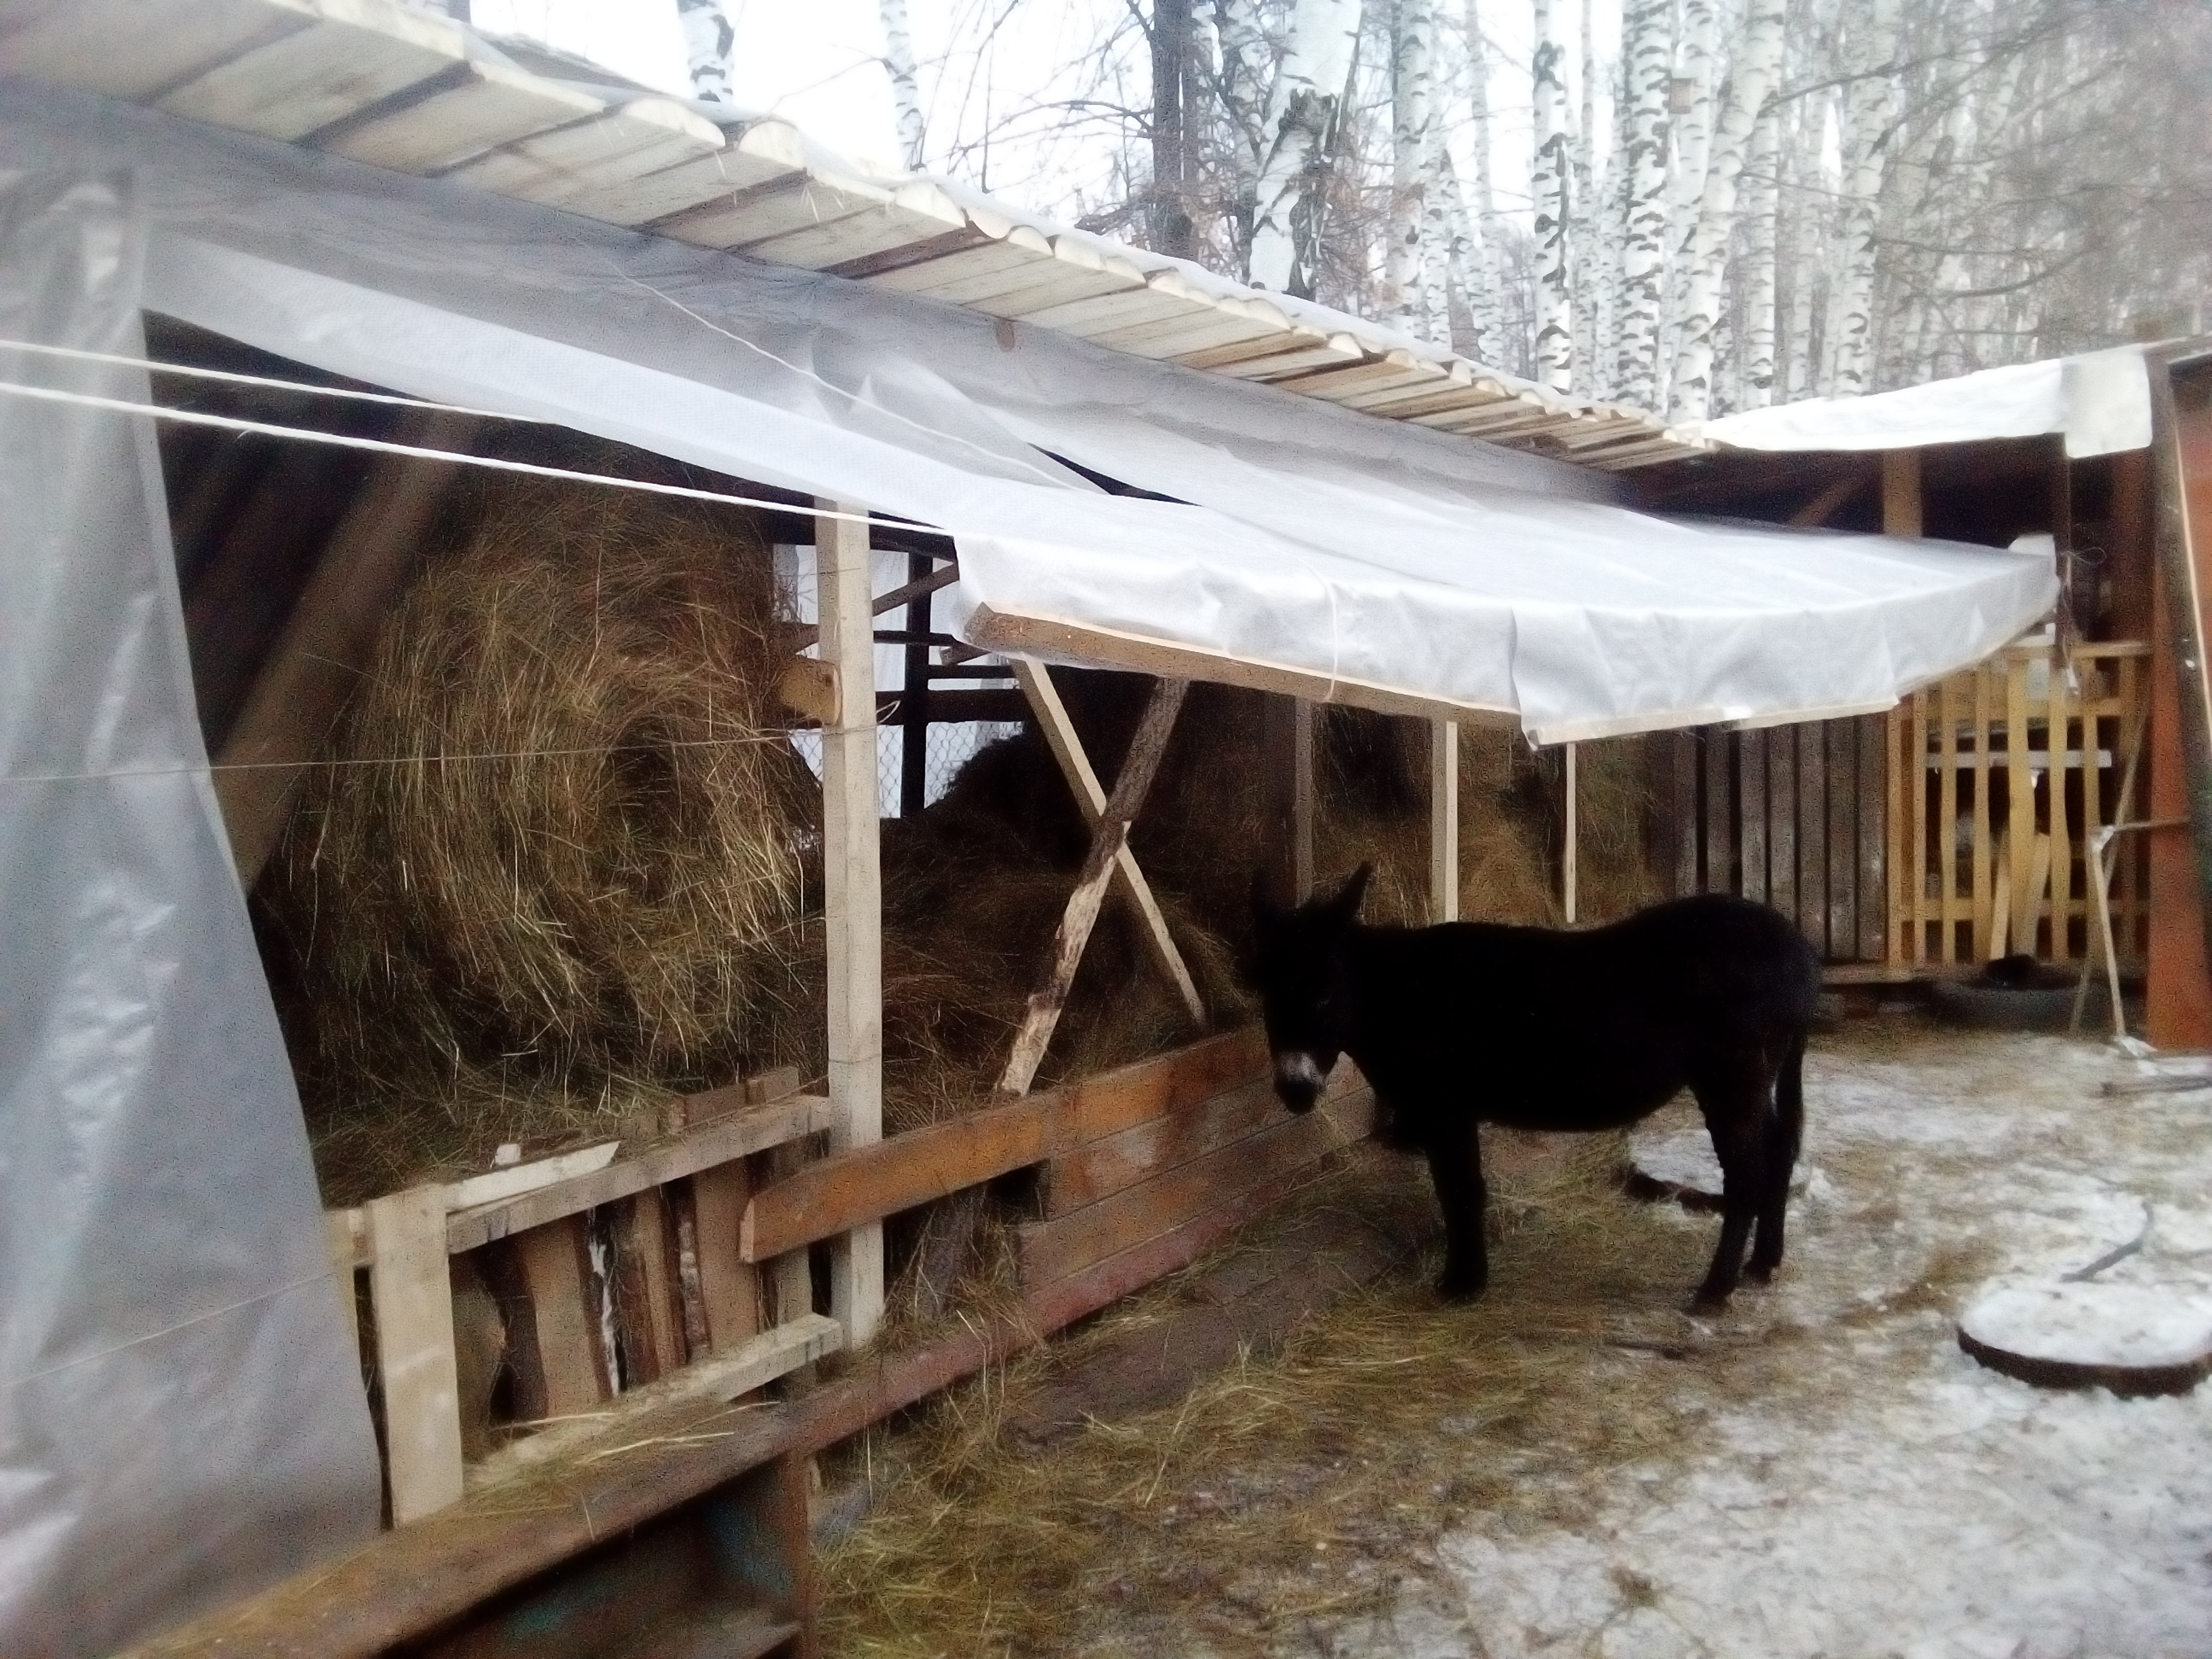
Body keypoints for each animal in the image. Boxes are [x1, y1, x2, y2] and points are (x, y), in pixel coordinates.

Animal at [1249, 866, 1821, 1310]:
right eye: (1265, 995)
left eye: (1325, 995)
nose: (1294, 1091)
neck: (1397, 993)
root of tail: (1798, 950)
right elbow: (1465, 1189)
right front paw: (1470, 1280)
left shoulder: (1447, 1109)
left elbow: (1460, 1190)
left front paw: (1462, 1285)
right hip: (1757, 1076)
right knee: (1779, 1150)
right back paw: (1763, 1264)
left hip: (1732, 1076)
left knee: (1746, 1174)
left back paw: (1715, 1290)